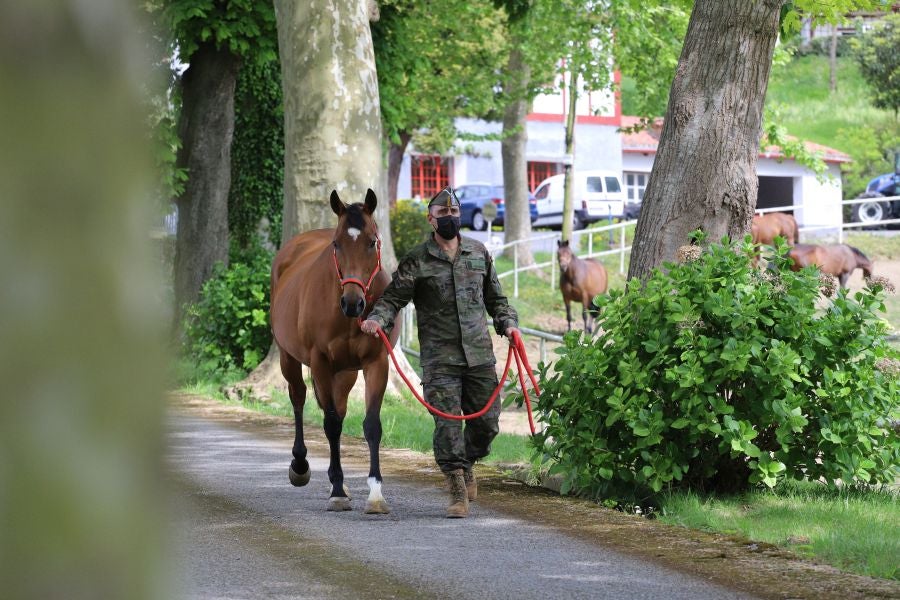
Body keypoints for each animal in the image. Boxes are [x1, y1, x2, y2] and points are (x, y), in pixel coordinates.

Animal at [268, 190, 400, 512]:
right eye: (337, 244)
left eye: (372, 241)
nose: (352, 303)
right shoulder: (320, 363)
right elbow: (330, 425)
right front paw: (338, 491)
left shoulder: (376, 362)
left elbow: (371, 425)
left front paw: (375, 493)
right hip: (289, 358)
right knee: (299, 397)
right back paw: (301, 465)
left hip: (346, 373)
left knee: (338, 409)